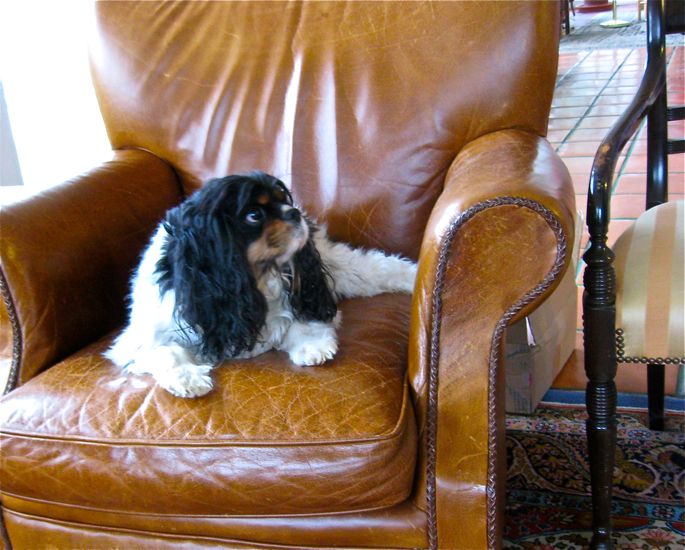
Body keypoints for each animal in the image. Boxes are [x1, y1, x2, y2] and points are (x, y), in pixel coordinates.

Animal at [105, 171, 416, 396]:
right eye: (254, 215)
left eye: (282, 200)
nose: (293, 212)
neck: (255, 280)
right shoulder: (144, 335)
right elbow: (167, 351)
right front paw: (188, 378)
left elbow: (304, 320)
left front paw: (313, 347)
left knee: (376, 267)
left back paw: (411, 276)